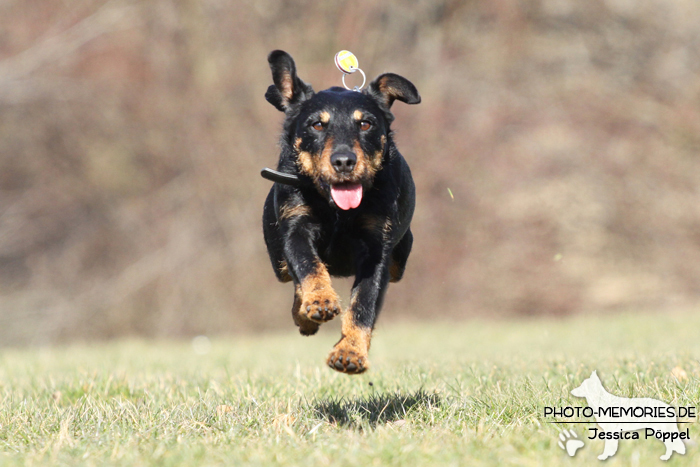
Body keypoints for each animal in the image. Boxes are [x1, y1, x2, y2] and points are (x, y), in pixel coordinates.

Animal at [260, 49, 418, 374]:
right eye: (317, 125)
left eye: (366, 124)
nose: (344, 161)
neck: (338, 211)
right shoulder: (295, 229)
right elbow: (309, 266)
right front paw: (320, 301)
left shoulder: (377, 249)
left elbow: (364, 304)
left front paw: (350, 352)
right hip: (276, 254)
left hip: (401, 256)